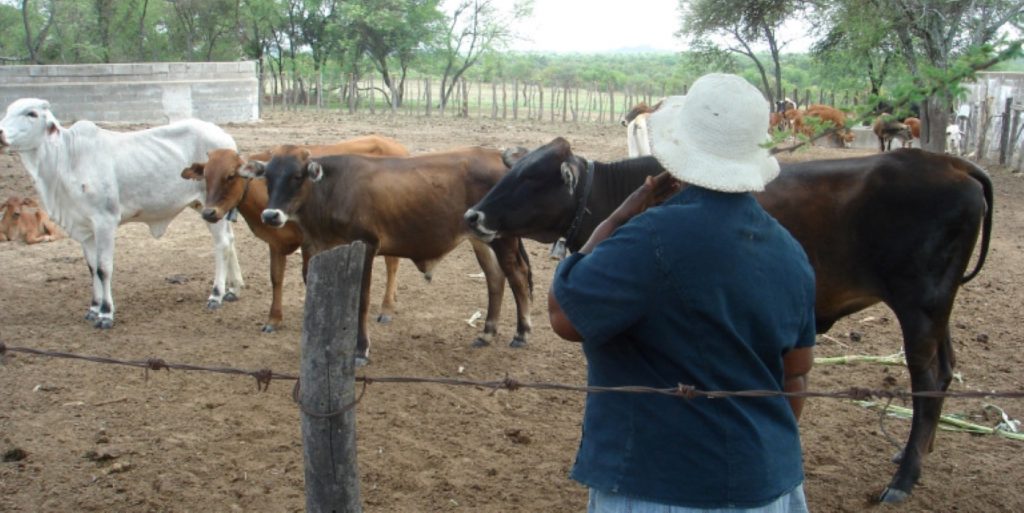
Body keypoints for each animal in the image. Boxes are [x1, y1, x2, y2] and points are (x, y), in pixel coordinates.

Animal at [0, 97, 242, 325]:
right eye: (7, 110)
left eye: (31, 113)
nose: (0, 133)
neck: (67, 159)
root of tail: (226, 140)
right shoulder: (85, 228)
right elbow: (92, 268)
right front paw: (93, 308)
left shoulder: (105, 221)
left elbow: (103, 268)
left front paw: (106, 313)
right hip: (209, 208)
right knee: (230, 240)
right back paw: (233, 289)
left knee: (222, 244)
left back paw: (216, 294)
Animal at [182, 134, 409, 331]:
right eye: (205, 176)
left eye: (230, 176)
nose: (209, 212)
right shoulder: (274, 242)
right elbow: (276, 278)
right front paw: (273, 320)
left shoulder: (309, 242)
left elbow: (308, 276)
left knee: (392, 264)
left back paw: (387, 308)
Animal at [246, 146, 532, 366]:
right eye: (267, 177)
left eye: (297, 176)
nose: (271, 215)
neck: (332, 189)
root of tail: (496, 155)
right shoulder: (323, 248)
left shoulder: (367, 245)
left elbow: (361, 300)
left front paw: (361, 350)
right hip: (481, 239)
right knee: (495, 278)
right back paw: (487, 333)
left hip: (503, 238)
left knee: (517, 276)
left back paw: (521, 334)